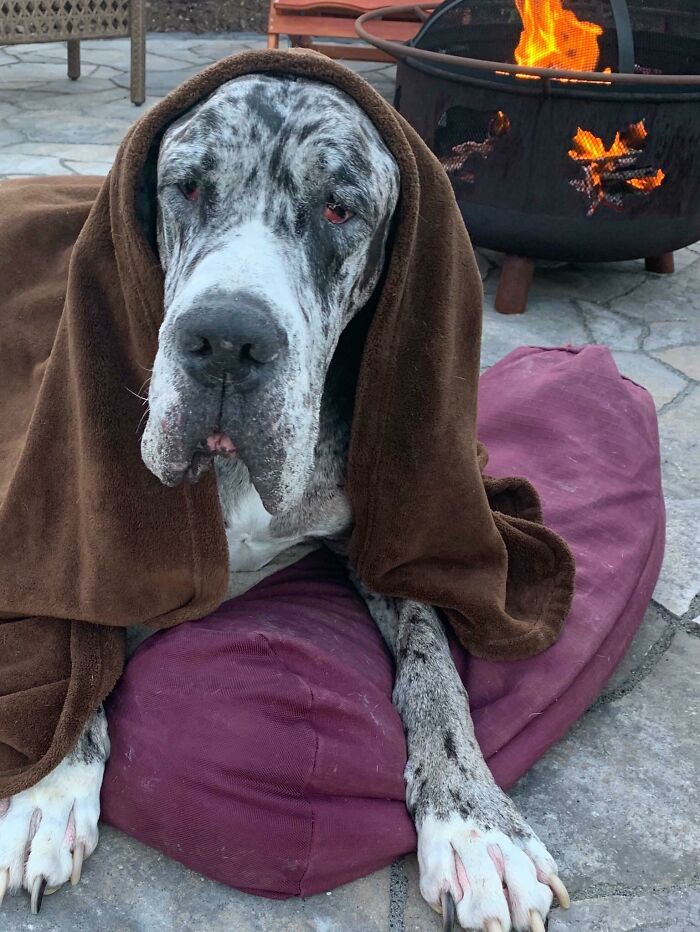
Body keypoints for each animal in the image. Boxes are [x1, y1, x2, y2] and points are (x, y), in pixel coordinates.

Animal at [0, 74, 568, 932]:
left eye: (339, 209)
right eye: (187, 187)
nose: (226, 342)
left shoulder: (384, 538)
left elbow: (435, 665)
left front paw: (476, 821)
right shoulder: (73, 521)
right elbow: (74, 638)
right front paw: (48, 787)